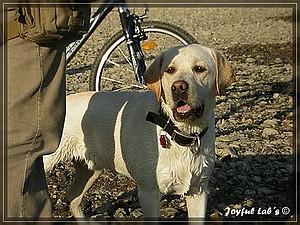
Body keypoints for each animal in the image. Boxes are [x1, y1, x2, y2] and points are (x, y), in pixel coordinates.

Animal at [44, 43, 234, 218]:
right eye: (170, 70)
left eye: (200, 69)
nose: (178, 87)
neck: (181, 133)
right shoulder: (148, 193)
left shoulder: (198, 191)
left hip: (91, 168)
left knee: (72, 197)